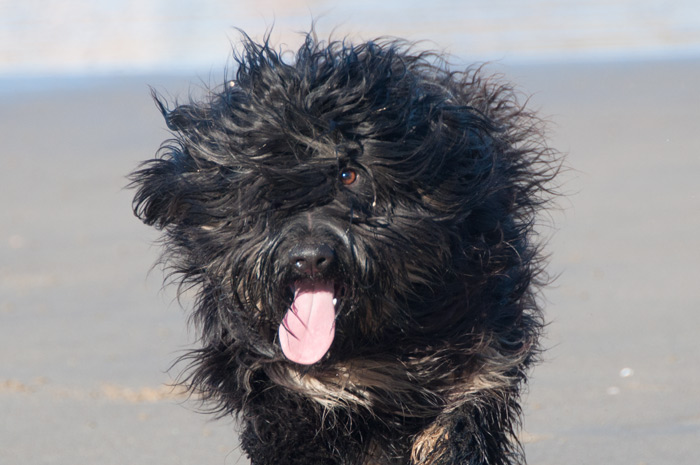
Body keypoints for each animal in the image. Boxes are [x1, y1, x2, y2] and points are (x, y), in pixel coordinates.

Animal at [130, 30, 556, 462]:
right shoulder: (291, 391)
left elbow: (457, 426)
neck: (373, 345)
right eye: (259, 186)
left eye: (349, 175)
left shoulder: (481, 358)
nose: (308, 259)